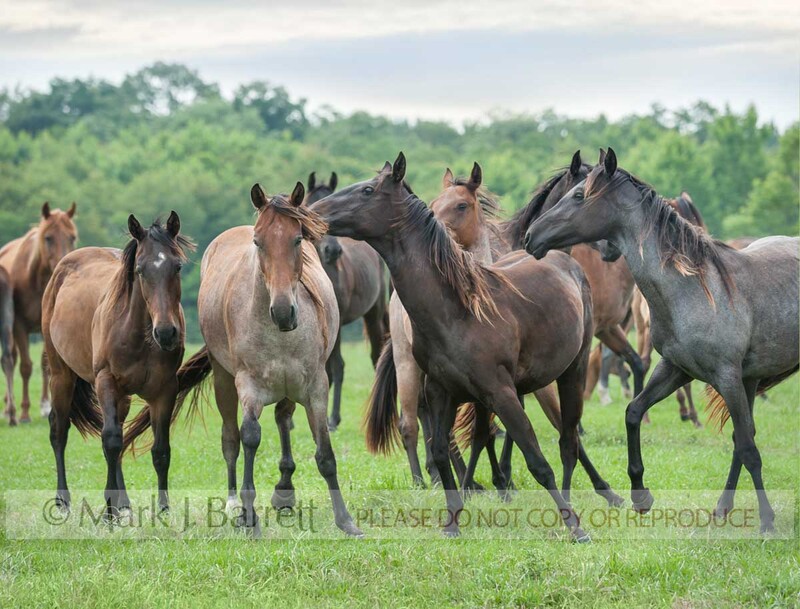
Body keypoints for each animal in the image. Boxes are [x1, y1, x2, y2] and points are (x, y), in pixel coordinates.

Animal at [0, 202, 78, 422]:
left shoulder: (47, 328)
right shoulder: (19, 326)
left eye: (72, 237)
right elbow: (26, 367)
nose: (62, 262)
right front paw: (25, 412)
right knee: (13, 358)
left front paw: (46, 406)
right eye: (48, 238)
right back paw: (9, 408)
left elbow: (46, 364)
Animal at [41, 213, 193, 517]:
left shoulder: (165, 390)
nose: (166, 333)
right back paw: (63, 501)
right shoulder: (106, 382)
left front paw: (163, 509)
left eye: (178, 266)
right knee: (60, 430)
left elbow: (160, 450)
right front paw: (109, 512)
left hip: (122, 396)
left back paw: (124, 503)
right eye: (141, 270)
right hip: (61, 376)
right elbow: (110, 441)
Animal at [174, 182, 362, 536]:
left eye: (298, 239)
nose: (283, 311)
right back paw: (233, 504)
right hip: (224, 379)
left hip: (287, 387)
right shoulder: (248, 386)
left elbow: (325, 453)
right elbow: (250, 437)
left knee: (283, 420)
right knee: (231, 439)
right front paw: (249, 518)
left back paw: (284, 491)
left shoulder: (316, 387)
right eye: (258, 242)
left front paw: (346, 520)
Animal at [304, 171, 388, 431]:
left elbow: (337, 367)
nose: (333, 251)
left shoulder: (337, 325)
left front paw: (332, 419)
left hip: (373, 314)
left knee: (376, 355)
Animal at [525, 148, 799, 532]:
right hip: (750, 378)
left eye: (579, 195)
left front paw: (767, 521)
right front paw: (640, 494)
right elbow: (634, 411)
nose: (530, 236)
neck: (694, 289)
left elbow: (748, 449)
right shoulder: (677, 369)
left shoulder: (725, 377)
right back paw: (722, 507)